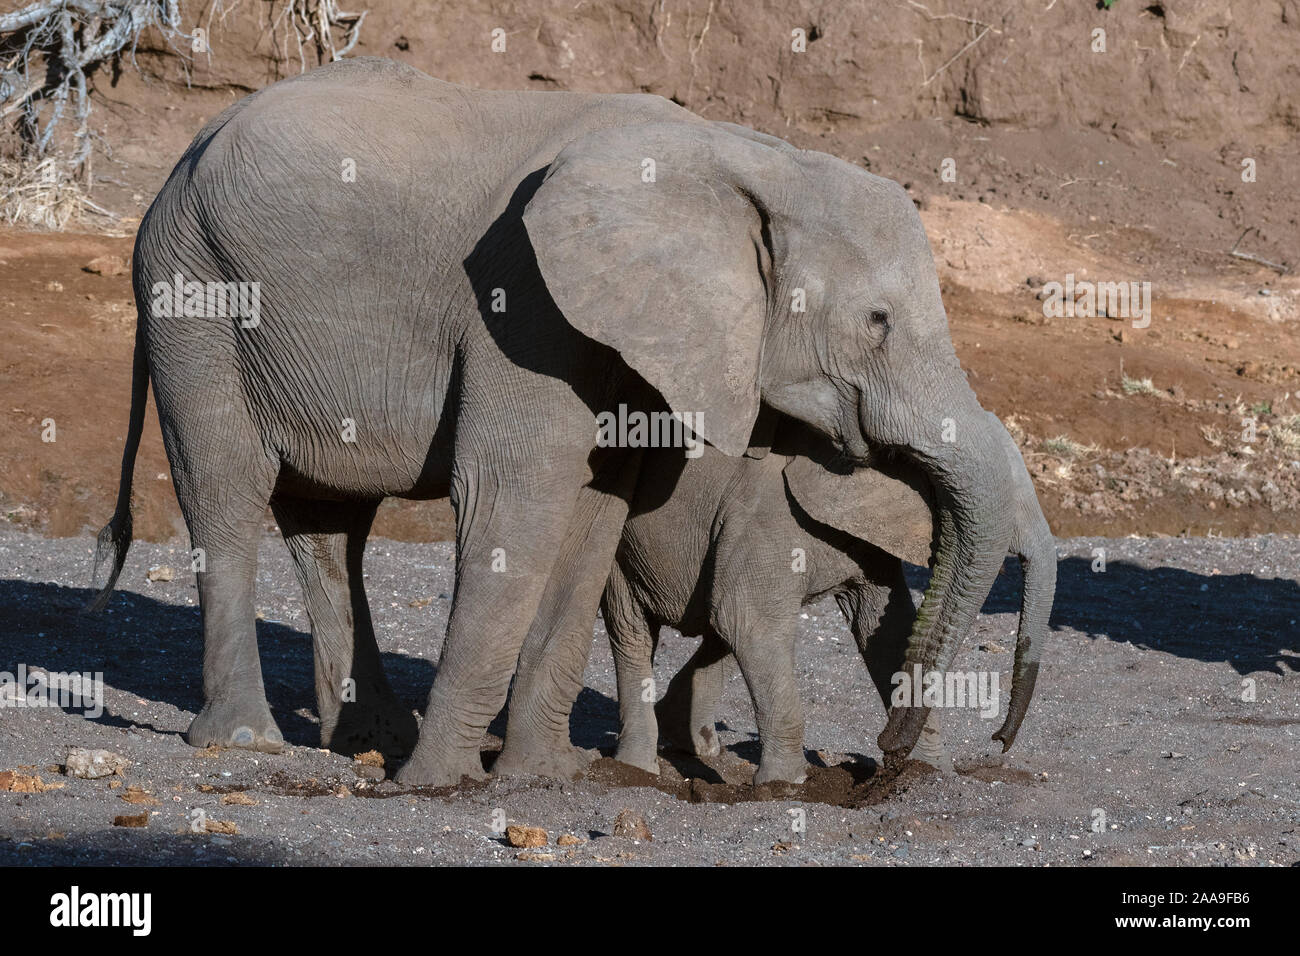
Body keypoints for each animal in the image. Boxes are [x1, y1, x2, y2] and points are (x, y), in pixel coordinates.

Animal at [600, 413, 1055, 785]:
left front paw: (928, 777)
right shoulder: (769, 518)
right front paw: (784, 787)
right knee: (634, 631)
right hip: (622, 542)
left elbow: (887, 630)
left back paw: (693, 742)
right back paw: (637, 768)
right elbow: (747, 620)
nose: (998, 740)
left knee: (716, 633)